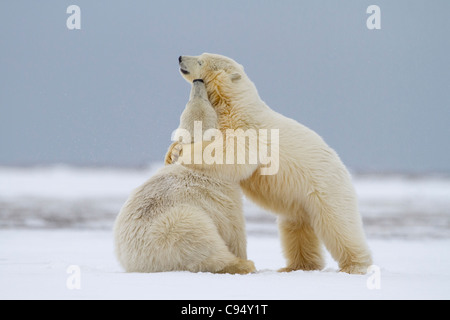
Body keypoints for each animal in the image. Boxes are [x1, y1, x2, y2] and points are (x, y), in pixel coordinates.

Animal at [114, 80, 255, 276]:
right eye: (206, 103)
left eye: (189, 101)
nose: (198, 81)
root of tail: (137, 262)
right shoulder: (225, 198)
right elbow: (235, 230)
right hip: (178, 227)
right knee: (203, 244)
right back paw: (243, 264)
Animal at [169, 53, 372, 274]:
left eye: (200, 61)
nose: (180, 57)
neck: (235, 105)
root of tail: (342, 166)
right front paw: (171, 152)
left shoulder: (249, 129)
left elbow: (232, 151)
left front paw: (183, 153)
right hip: (298, 201)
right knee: (295, 228)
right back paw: (296, 266)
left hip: (326, 189)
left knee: (339, 224)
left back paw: (355, 265)